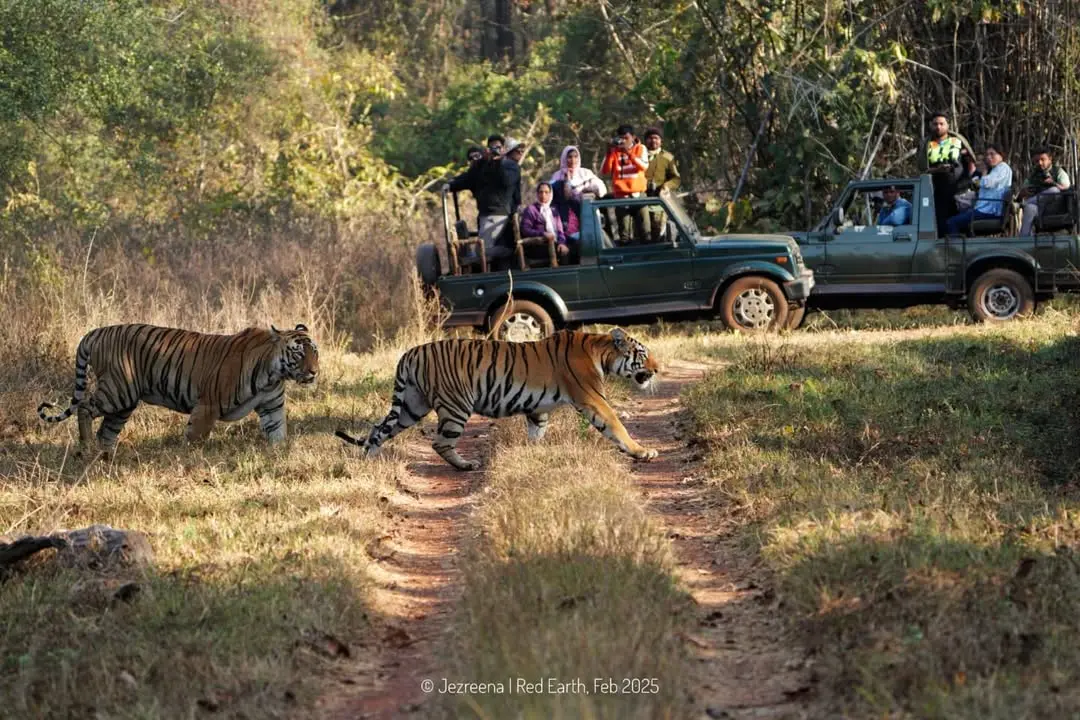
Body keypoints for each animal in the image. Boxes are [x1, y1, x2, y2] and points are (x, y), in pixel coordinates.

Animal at [38, 323, 315, 459]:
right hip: (117, 390)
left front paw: (280, 455)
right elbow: (195, 437)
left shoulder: (272, 406)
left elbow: (278, 432)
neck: (273, 374)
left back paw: (105, 456)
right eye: (298, 353)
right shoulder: (207, 405)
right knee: (84, 407)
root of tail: (95, 332)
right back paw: (86, 449)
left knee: (106, 432)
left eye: (315, 353)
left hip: (124, 402)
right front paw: (190, 460)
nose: (313, 372)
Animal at [334, 328, 656, 472]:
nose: (657, 369)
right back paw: (466, 465)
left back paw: (368, 462)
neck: (600, 350)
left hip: (411, 405)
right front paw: (642, 452)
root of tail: (409, 354)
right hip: (455, 406)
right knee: (440, 442)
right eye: (643, 354)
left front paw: (532, 453)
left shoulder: (538, 409)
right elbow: (615, 425)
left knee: (377, 431)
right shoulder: (592, 398)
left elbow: (537, 431)